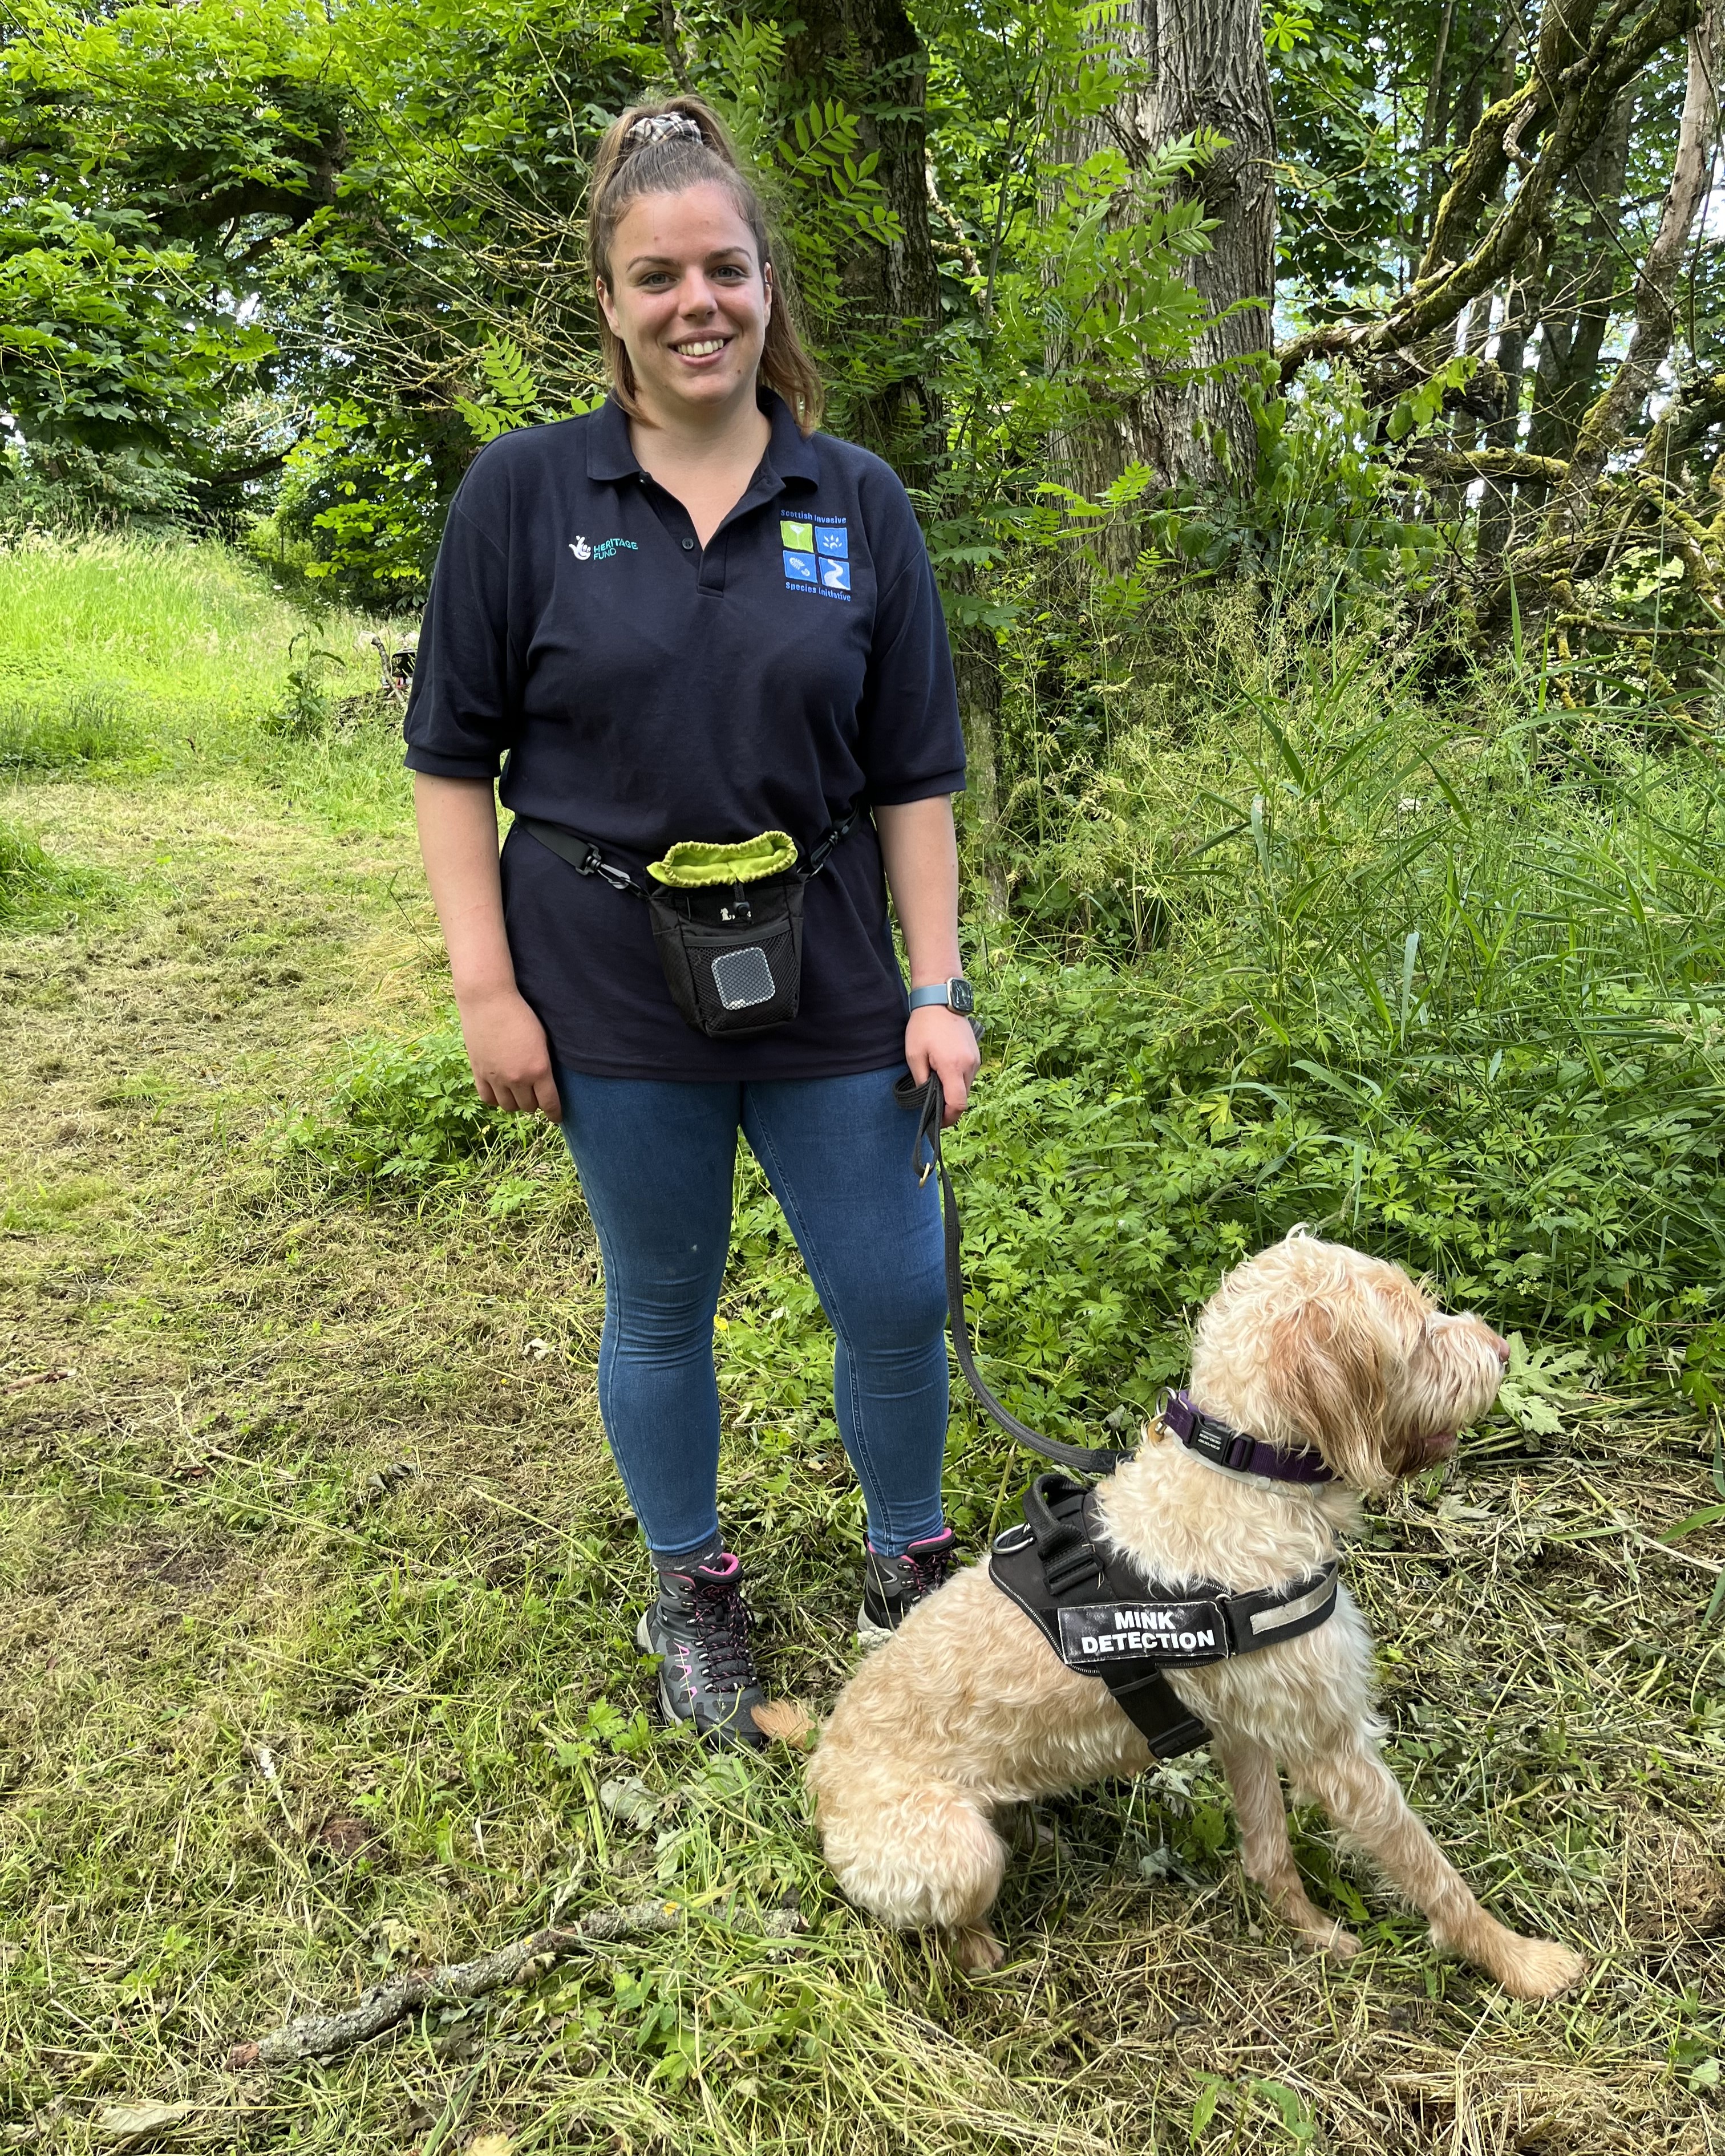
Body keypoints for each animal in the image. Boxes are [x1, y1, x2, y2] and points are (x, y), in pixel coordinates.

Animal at [780, 1242, 1587, 1992]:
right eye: (1418, 1331)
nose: (1502, 1351)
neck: (1246, 1475)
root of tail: (819, 1766)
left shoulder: (1247, 1732)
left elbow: (1270, 1853)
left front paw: (1313, 1934)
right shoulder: (1335, 1749)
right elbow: (1432, 1873)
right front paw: (1522, 1963)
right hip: (957, 1851)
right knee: (954, 1927)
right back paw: (985, 1950)